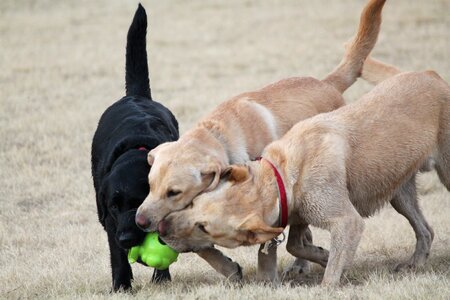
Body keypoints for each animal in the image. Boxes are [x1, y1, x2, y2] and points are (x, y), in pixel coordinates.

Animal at [90, 4, 178, 290]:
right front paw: (121, 286)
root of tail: (136, 95)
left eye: (139, 200)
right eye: (114, 206)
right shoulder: (109, 219)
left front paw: (161, 278)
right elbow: (117, 255)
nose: (127, 239)